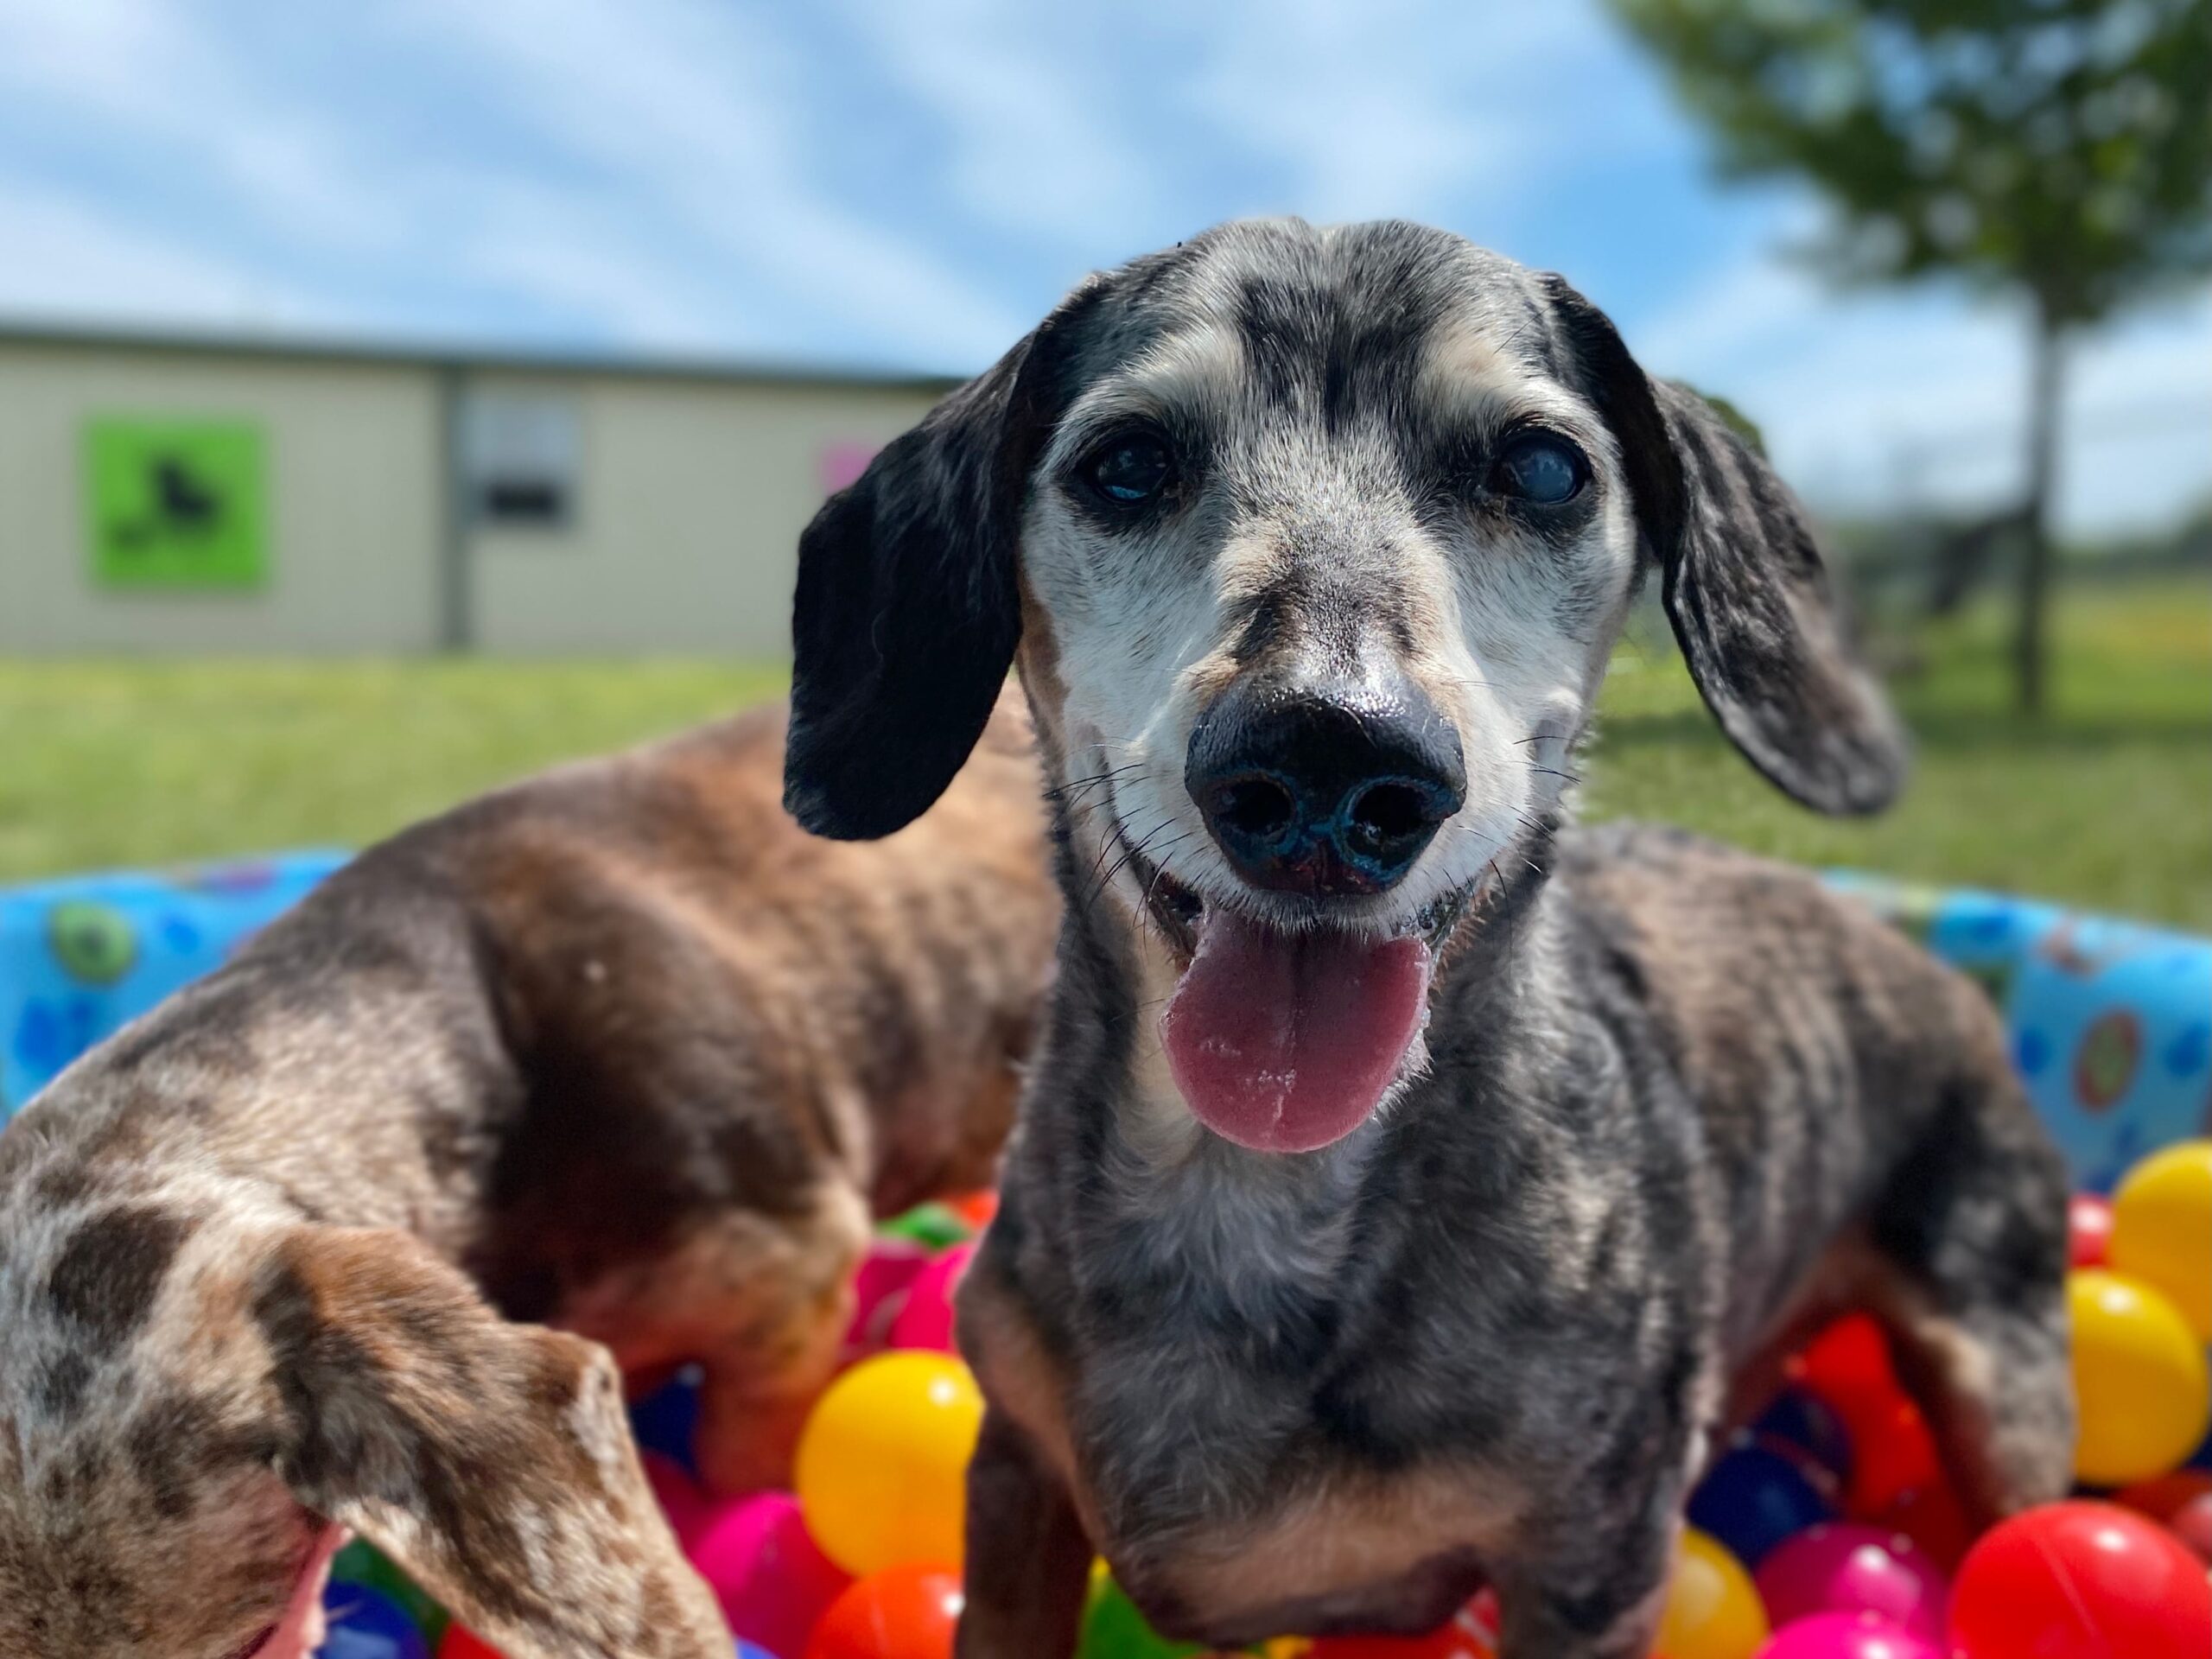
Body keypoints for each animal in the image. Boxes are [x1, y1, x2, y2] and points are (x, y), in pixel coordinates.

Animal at [787, 221, 2079, 1659]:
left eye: (1544, 465)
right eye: (1123, 462)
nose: (1328, 760)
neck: (1254, 1184)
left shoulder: (1592, 1563)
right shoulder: (1013, 1471)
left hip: (2002, 1371)